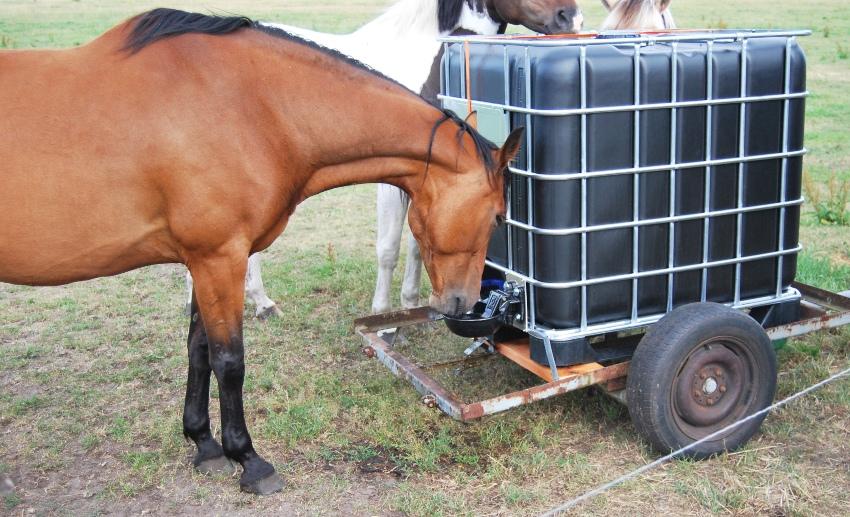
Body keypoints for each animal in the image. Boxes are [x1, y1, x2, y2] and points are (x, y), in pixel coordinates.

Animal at [0, 8, 524, 492]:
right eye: (498, 217)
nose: (462, 302)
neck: (252, 107)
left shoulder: (203, 261)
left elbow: (199, 351)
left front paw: (204, 444)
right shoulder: (219, 258)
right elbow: (229, 361)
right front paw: (248, 459)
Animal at [185, 0, 584, 316]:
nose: (571, 17)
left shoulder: (428, 185)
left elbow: (418, 247)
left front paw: (409, 305)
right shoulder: (393, 181)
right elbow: (389, 249)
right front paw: (384, 315)